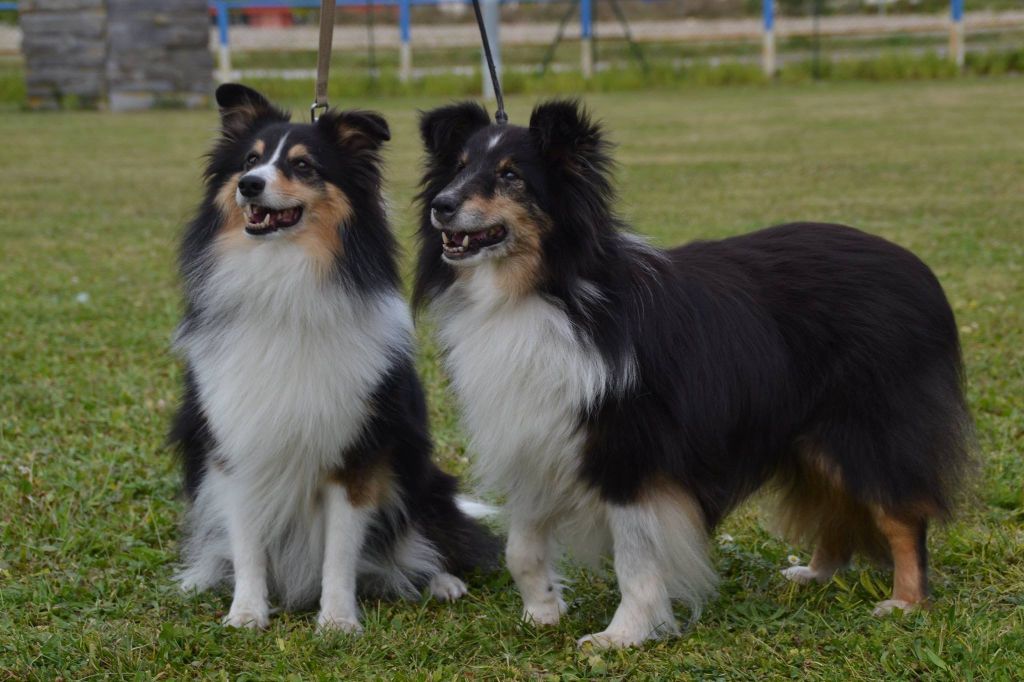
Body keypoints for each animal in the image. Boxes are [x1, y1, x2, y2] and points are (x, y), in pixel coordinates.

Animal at [169, 86, 497, 630]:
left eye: (303, 166)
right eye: (251, 160)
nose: (250, 186)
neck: (283, 281)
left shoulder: (357, 454)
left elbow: (340, 550)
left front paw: (338, 620)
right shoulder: (236, 448)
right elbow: (247, 543)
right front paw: (246, 612)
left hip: (423, 480)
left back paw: (440, 581)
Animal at [411, 98, 970, 647]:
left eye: (511, 176)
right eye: (458, 167)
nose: (442, 205)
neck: (545, 290)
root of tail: (919, 272)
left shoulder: (629, 452)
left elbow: (635, 559)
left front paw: (624, 634)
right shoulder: (535, 438)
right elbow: (521, 547)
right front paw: (542, 612)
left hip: (863, 426)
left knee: (902, 514)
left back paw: (905, 601)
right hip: (809, 433)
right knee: (836, 503)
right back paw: (814, 573)